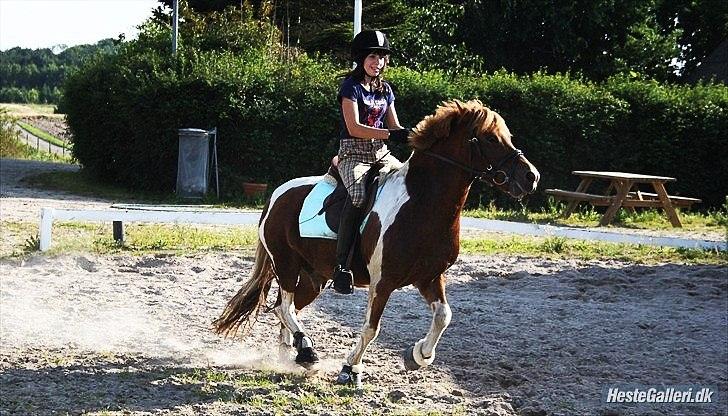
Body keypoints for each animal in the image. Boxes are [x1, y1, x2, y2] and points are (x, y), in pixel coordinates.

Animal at [213, 100, 540, 386]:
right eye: (489, 138)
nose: (531, 177)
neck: (423, 203)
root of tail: (275, 196)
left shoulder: (430, 277)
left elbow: (443, 316)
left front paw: (418, 356)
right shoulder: (382, 282)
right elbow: (372, 328)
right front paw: (350, 370)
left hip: (313, 277)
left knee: (285, 309)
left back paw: (294, 356)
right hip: (286, 265)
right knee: (284, 307)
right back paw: (307, 351)